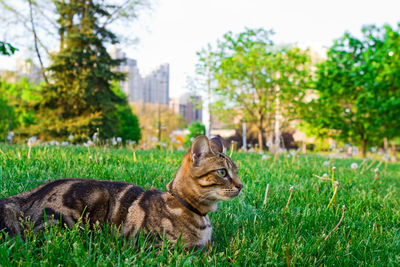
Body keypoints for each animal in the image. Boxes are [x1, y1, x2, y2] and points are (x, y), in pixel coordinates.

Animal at [0, 136, 242, 249]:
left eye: (237, 171)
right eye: (222, 172)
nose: (241, 185)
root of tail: (24, 197)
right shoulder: (152, 245)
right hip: (92, 199)